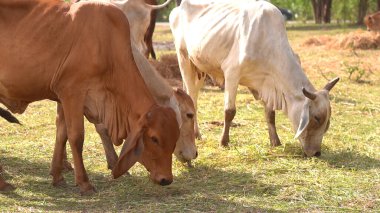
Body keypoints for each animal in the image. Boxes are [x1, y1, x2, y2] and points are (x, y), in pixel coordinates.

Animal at [0, 0, 180, 195]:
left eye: (175, 137)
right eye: (154, 138)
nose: (166, 179)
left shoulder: (62, 98)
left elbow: (61, 134)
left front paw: (57, 176)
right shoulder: (72, 92)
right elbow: (76, 137)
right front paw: (84, 183)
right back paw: (3, 183)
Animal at [169, 0, 338, 156]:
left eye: (328, 121)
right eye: (317, 118)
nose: (316, 153)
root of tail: (179, 7)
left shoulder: (267, 84)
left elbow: (270, 114)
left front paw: (275, 141)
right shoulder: (232, 73)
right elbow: (229, 112)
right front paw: (224, 142)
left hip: (200, 70)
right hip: (184, 59)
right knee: (192, 98)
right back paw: (196, 134)